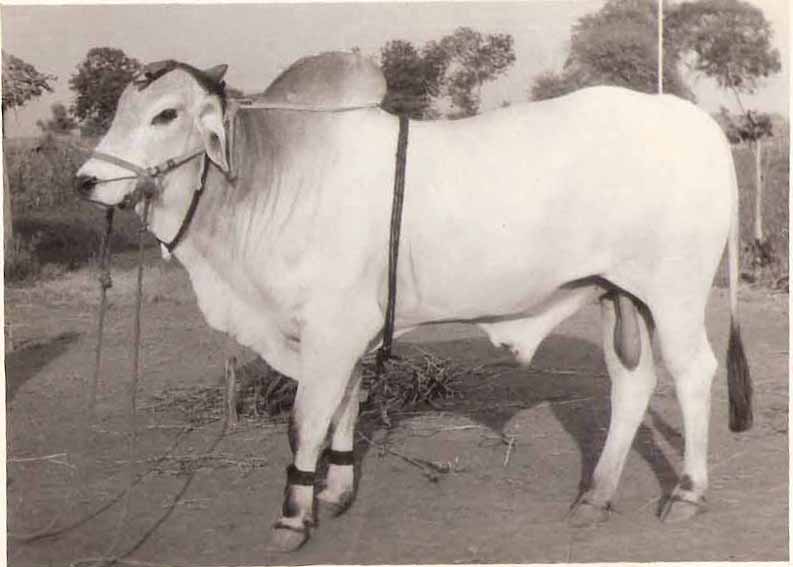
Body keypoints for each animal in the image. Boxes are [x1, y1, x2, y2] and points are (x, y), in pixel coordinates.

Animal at [77, 54, 752, 556]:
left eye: (165, 114)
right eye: (117, 110)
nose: (87, 180)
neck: (274, 175)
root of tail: (691, 119)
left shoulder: (331, 328)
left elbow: (306, 420)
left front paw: (293, 516)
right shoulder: (344, 334)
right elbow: (344, 408)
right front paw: (335, 493)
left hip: (674, 291)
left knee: (693, 373)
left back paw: (687, 494)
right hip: (620, 294)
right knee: (631, 383)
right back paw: (596, 496)